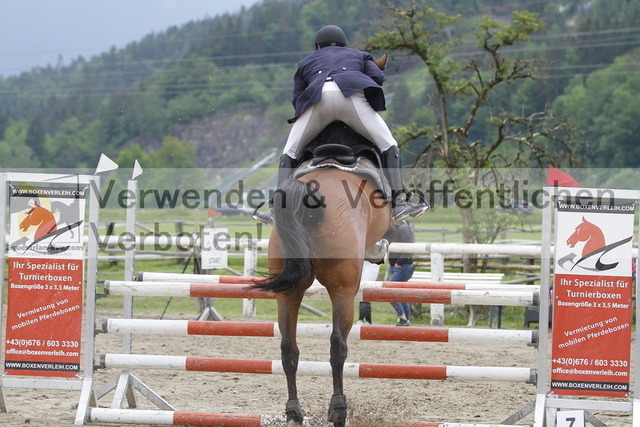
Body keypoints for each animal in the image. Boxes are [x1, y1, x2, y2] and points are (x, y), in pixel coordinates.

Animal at [252, 123, 395, 426]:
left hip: (288, 290)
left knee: (288, 347)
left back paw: (294, 411)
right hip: (343, 289)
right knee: (337, 345)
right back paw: (338, 408)